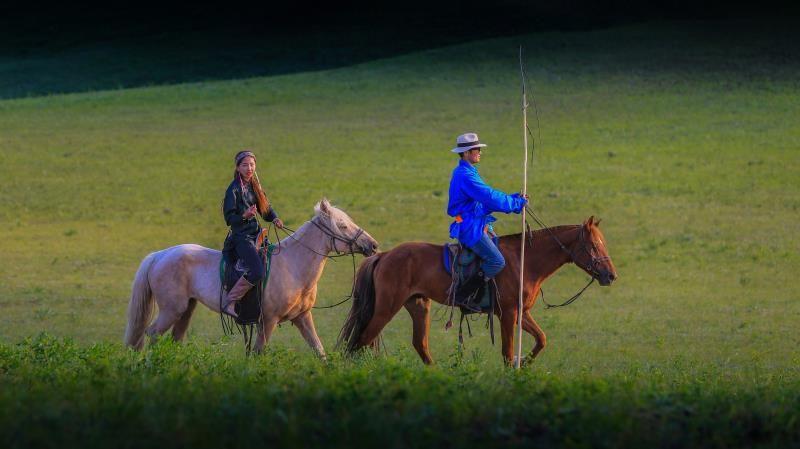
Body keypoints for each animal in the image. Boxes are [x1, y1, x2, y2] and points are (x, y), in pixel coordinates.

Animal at [123, 200, 380, 356]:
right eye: (342, 225)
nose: (373, 245)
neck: (293, 266)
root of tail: (160, 255)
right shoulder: (268, 321)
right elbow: (258, 354)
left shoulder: (302, 317)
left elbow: (319, 350)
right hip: (171, 309)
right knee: (152, 334)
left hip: (186, 309)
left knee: (174, 338)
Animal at [338, 215, 620, 366]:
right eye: (594, 246)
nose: (611, 275)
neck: (524, 260)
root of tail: (384, 255)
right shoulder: (507, 314)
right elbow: (507, 352)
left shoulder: (521, 313)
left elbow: (541, 339)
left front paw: (523, 362)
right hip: (386, 308)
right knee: (362, 340)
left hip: (417, 305)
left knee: (419, 344)